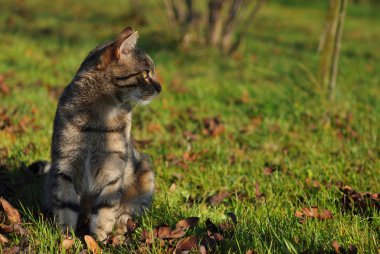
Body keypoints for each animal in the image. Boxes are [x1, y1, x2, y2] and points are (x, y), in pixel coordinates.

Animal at [44, 26, 160, 241]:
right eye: (145, 74)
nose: (160, 88)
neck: (99, 118)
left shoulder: (113, 166)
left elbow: (106, 207)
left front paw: (99, 239)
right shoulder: (65, 163)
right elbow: (65, 206)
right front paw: (66, 239)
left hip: (145, 177)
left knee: (130, 212)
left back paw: (121, 227)